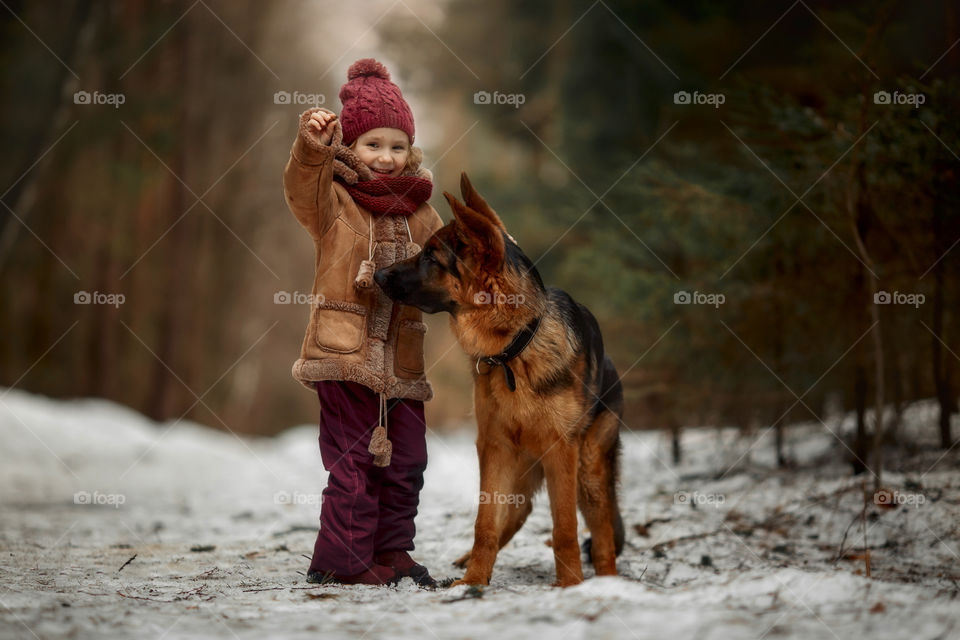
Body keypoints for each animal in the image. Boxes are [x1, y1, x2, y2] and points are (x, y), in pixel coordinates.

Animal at [372, 174, 628, 584]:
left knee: (601, 530)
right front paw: (473, 581)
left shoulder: (561, 451)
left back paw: (605, 581)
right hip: (522, 462)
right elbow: (485, 521)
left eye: (431, 256)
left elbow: (565, 527)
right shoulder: (493, 447)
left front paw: (570, 585)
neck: (515, 348)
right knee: (518, 511)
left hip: (588, 468)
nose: (377, 274)